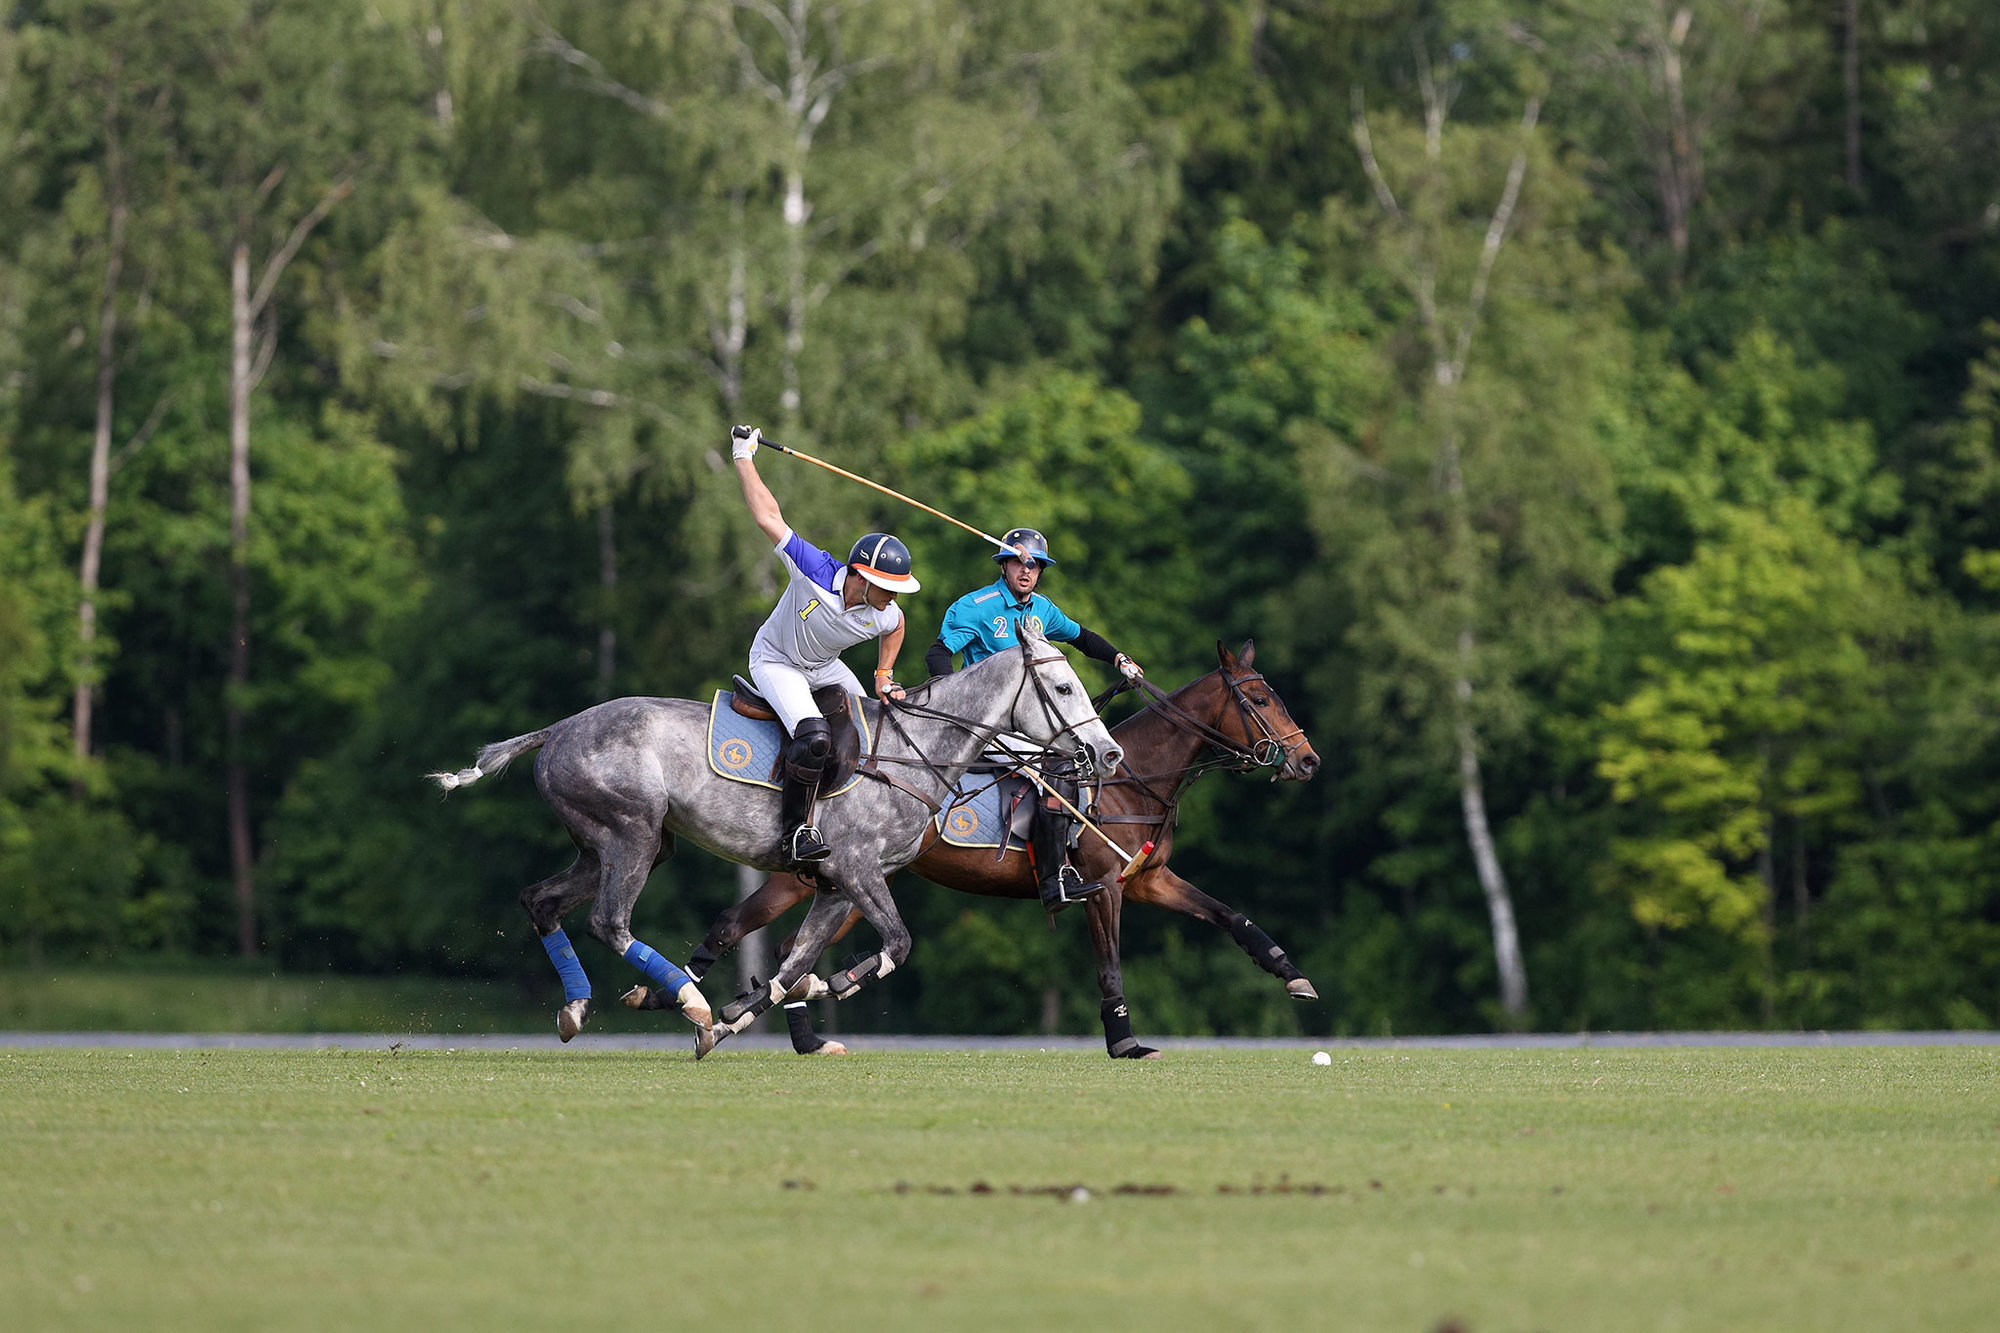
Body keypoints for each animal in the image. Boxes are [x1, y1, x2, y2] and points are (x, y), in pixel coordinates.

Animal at [428, 616, 1120, 1056]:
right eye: (1063, 687)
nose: (1107, 754)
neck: (914, 752)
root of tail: (556, 730)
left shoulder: (838, 886)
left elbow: (796, 961)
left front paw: (743, 1016)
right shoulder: (858, 870)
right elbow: (895, 943)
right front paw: (810, 992)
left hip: (609, 845)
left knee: (541, 900)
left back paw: (579, 1010)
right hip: (632, 833)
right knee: (608, 922)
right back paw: (689, 1000)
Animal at [680, 640, 1320, 1056]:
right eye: (1261, 700)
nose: (1308, 760)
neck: (1133, 778)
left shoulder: (1146, 879)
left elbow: (1230, 915)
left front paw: (1293, 975)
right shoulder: (1104, 889)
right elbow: (1109, 964)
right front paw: (1125, 1042)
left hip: (849, 881)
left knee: (784, 943)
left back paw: (796, 1033)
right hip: (818, 872)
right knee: (755, 930)